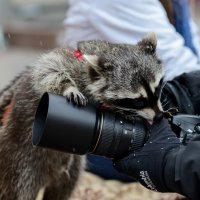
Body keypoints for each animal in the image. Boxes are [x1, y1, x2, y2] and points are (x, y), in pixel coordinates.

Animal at [0, 32, 163, 199]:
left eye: (157, 89)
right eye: (137, 101)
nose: (159, 116)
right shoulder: (68, 61)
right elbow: (48, 68)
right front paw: (68, 87)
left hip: (72, 166)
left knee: (64, 188)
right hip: (20, 161)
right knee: (19, 190)